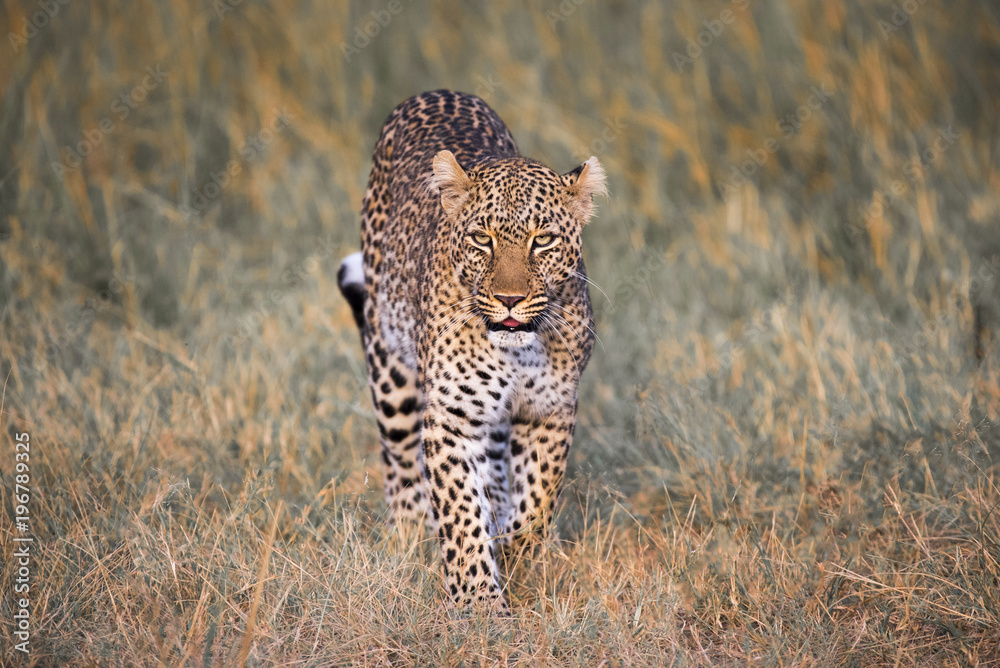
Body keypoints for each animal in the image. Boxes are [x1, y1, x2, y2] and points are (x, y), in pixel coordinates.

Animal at [337, 90, 606, 613]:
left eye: (543, 240)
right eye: (483, 239)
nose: (509, 299)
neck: (518, 352)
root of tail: (437, 91)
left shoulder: (550, 409)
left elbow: (536, 502)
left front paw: (515, 561)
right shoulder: (451, 416)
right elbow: (460, 513)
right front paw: (479, 603)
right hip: (390, 369)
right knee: (401, 465)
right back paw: (407, 539)